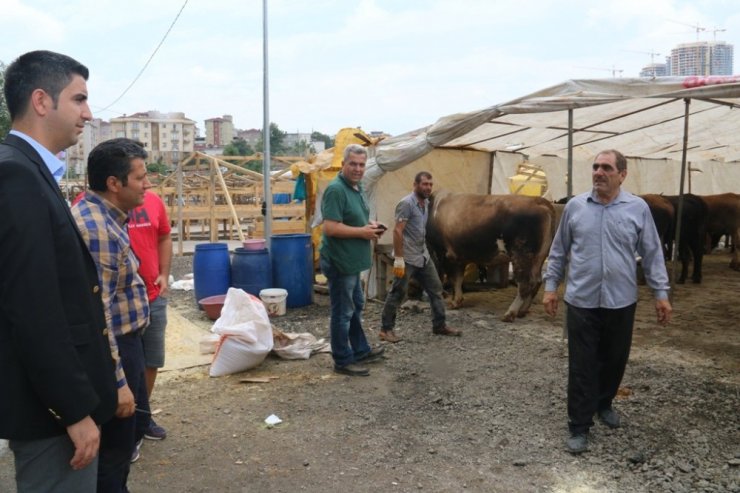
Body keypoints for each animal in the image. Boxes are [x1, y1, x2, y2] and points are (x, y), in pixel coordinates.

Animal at [428, 190, 556, 320]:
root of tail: (537, 200)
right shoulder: (459, 257)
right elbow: (458, 279)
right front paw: (457, 301)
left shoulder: (443, 253)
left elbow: (451, 278)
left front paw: (453, 301)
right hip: (538, 257)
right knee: (536, 281)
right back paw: (522, 311)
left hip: (521, 254)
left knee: (525, 283)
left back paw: (510, 313)